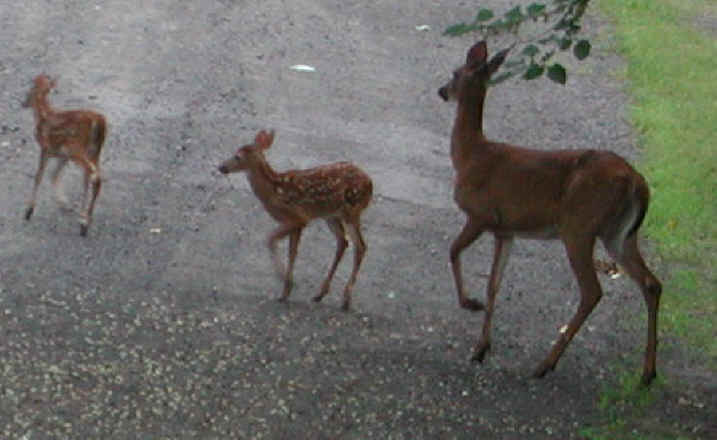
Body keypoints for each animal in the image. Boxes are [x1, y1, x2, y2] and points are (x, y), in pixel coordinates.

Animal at [23, 74, 107, 236]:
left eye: (29, 89)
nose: (22, 103)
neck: (43, 116)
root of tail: (98, 121)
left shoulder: (46, 148)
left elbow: (39, 176)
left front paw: (29, 211)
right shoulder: (62, 154)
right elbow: (53, 175)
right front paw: (64, 204)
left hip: (78, 148)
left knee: (94, 176)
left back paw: (84, 222)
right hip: (94, 151)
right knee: (91, 177)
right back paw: (85, 221)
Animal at [218, 130, 373, 311]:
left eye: (238, 156)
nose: (221, 167)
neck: (274, 192)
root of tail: (370, 183)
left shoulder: (296, 218)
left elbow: (271, 240)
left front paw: (286, 284)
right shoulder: (296, 223)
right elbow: (292, 252)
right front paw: (286, 290)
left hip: (351, 210)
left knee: (360, 246)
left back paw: (346, 299)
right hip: (331, 215)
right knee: (343, 242)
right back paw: (321, 294)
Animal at [438, 41, 662, 386]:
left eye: (455, 73)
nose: (441, 91)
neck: (470, 155)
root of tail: (637, 182)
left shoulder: (481, 215)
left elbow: (453, 251)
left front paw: (469, 304)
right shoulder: (506, 231)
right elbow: (494, 284)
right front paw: (481, 348)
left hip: (579, 227)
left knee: (592, 291)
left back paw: (546, 364)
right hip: (620, 234)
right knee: (651, 283)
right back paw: (648, 373)